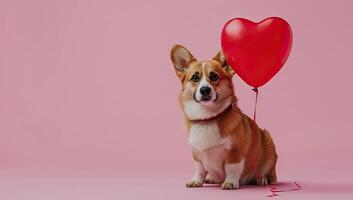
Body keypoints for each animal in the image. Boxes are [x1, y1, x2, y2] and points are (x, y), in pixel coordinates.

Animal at [170, 44, 278, 190]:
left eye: (214, 76)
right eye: (194, 78)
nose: (205, 90)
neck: (208, 118)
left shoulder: (235, 152)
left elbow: (231, 168)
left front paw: (230, 182)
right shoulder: (197, 153)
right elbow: (199, 169)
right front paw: (196, 181)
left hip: (268, 143)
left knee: (270, 174)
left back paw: (263, 179)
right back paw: (210, 178)